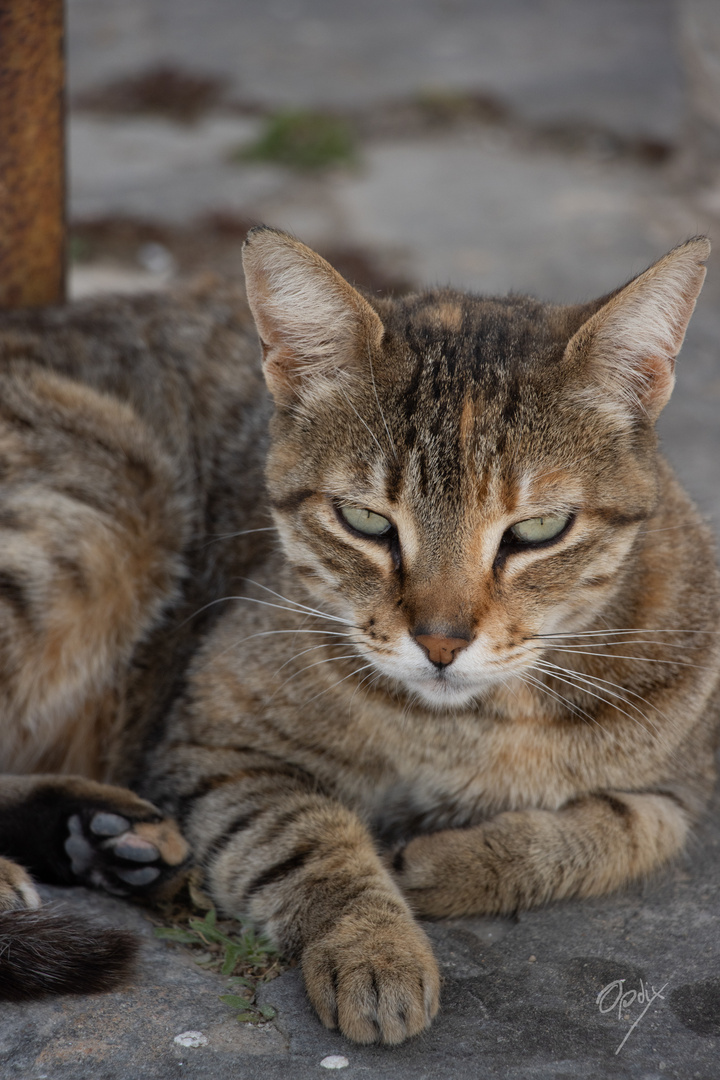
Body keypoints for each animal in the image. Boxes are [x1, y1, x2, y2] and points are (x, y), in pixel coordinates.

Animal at [0, 230, 716, 1045]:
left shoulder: (685, 786)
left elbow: (616, 830)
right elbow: (311, 841)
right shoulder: (215, 750)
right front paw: (376, 945)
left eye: (538, 530)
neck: (464, 728)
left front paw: (452, 862)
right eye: (366, 521)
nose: (441, 642)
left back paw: (100, 835)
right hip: (110, 500)